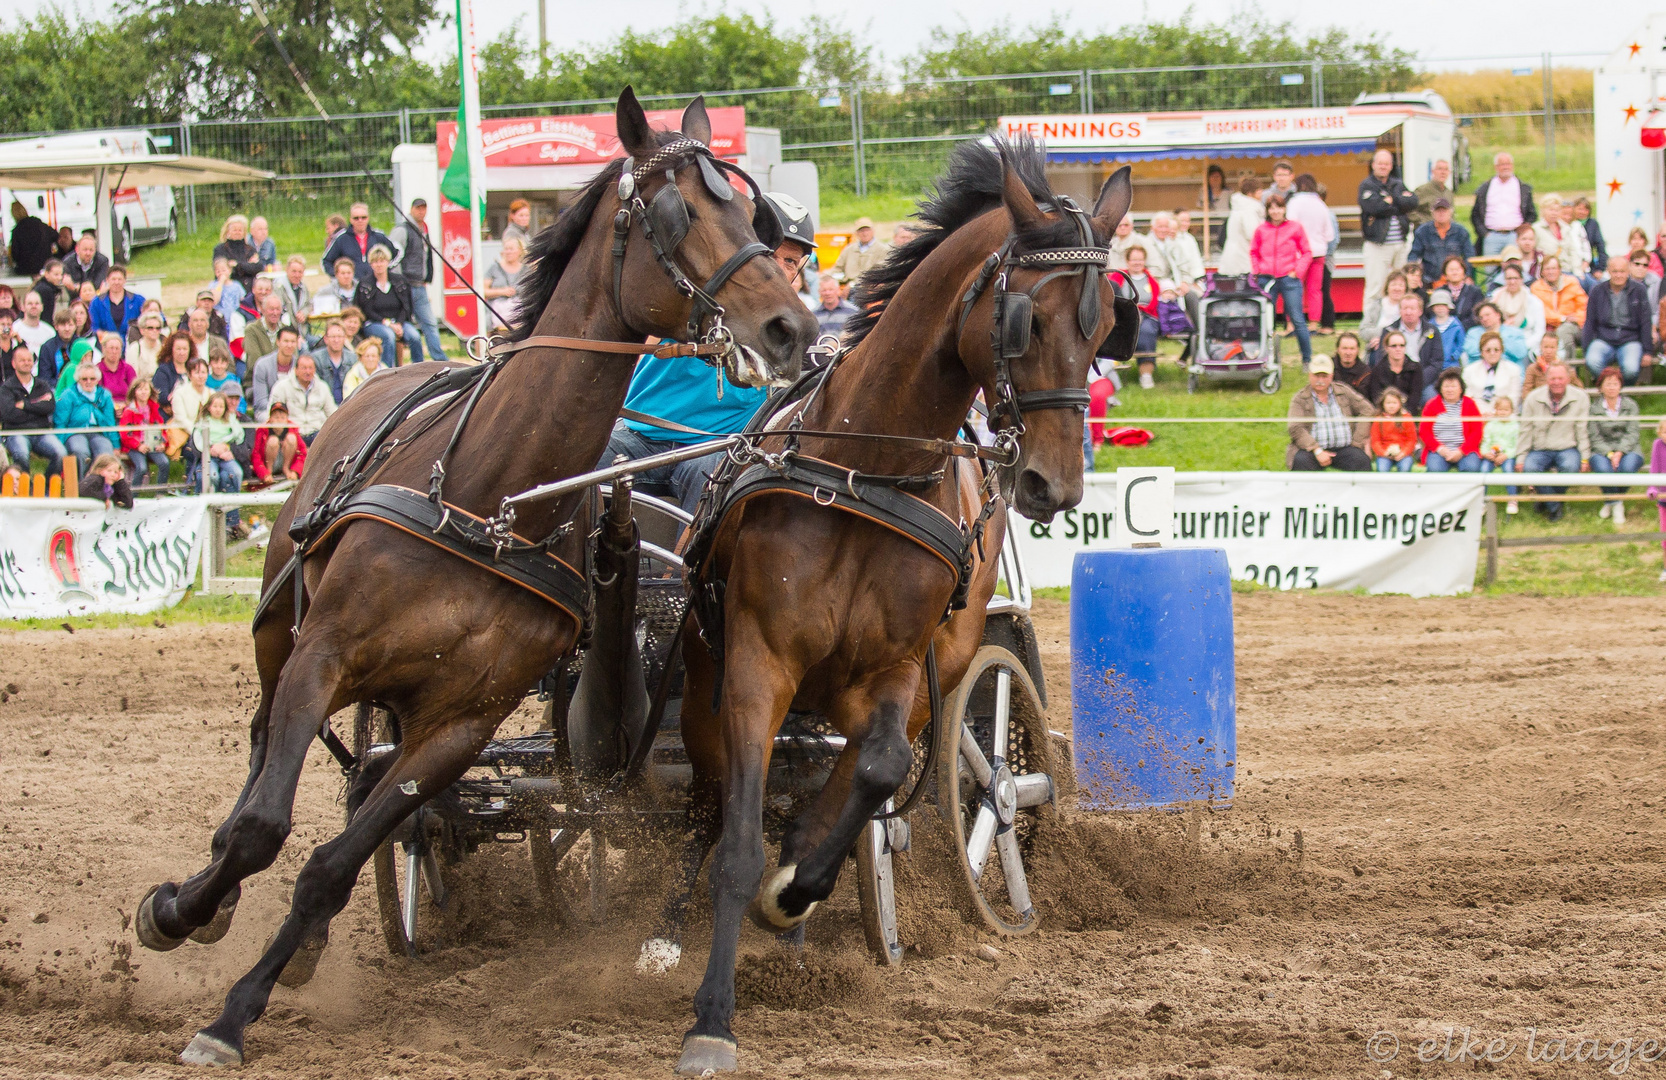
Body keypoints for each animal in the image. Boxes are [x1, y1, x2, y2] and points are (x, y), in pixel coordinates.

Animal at [133, 88, 816, 1066]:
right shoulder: (323, 656)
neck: (490, 499)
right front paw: (179, 915)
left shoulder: (458, 726)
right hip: (278, 632)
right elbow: (265, 827)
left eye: (755, 217)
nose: (792, 328)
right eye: (678, 212)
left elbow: (334, 865)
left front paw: (242, 1004)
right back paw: (213, 893)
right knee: (265, 752)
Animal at [663, 139, 1132, 1073]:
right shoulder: (758, 663)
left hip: (936, 671)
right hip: (705, 682)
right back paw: (668, 930)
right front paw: (712, 1017)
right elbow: (736, 840)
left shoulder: (895, 669)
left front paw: (796, 885)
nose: (1054, 487)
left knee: (880, 767)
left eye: (1105, 328)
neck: (865, 470)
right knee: (704, 796)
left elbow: (875, 770)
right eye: (1025, 320)